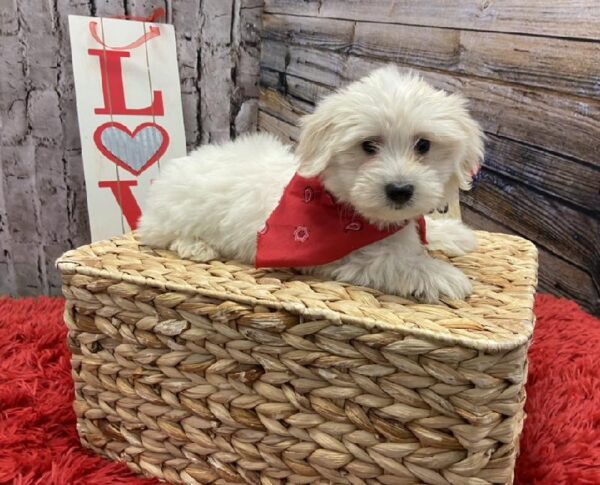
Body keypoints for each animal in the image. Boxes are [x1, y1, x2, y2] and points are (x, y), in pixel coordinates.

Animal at [138, 67, 486, 302]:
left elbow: (418, 231)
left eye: (423, 145)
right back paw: (195, 246)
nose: (400, 190)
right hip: (176, 215)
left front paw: (451, 234)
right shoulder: (334, 258)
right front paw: (439, 274)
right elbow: (389, 261)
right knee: (159, 234)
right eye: (368, 146)